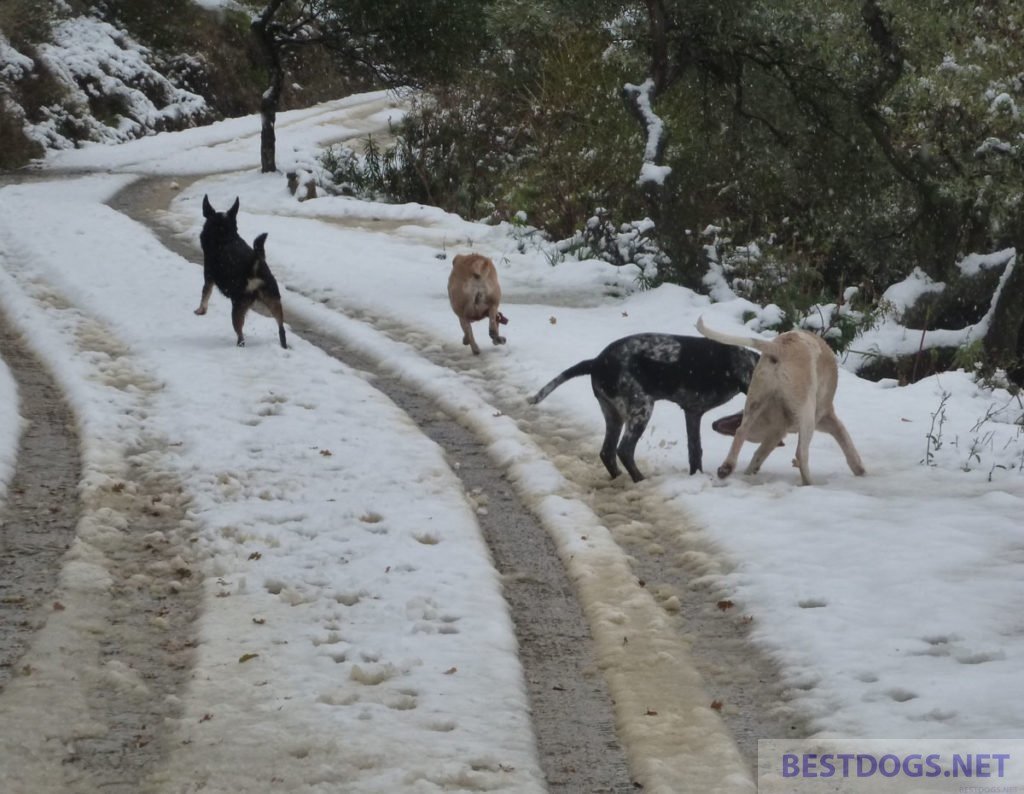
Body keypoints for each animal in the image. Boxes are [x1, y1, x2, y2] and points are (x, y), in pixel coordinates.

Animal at [195, 194, 288, 348]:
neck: (225, 236)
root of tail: (255, 266)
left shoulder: (208, 276)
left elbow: (205, 295)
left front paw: (200, 311)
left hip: (238, 306)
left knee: (240, 334)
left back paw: (239, 344)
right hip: (274, 300)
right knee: (281, 328)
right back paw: (284, 345)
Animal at [528, 331, 761, 481]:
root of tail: (596, 362)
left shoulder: (693, 412)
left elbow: (695, 452)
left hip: (613, 414)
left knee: (607, 452)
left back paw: (619, 478)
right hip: (641, 408)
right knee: (623, 450)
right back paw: (640, 480)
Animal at [696, 317, 864, 483]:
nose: (714, 425)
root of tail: (780, 348)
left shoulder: (775, 433)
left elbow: (758, 454)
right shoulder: (825, 419)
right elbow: (846, 442)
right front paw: (860, 471)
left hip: (755, 400)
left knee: (741, 432)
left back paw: (727, 468)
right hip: (807, 413)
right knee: (801, 453)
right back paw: (808, 482)